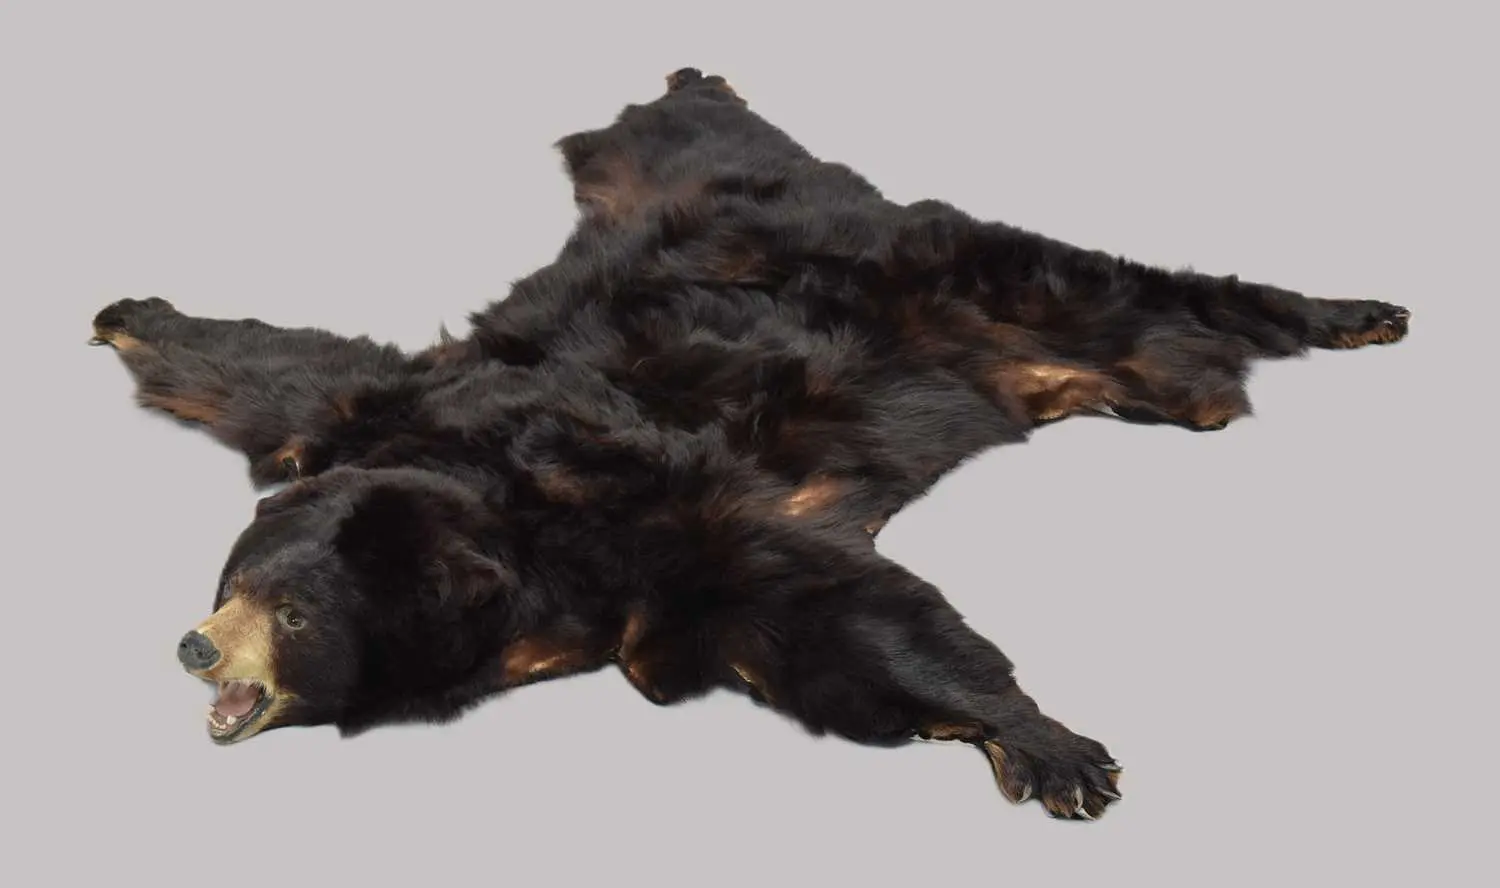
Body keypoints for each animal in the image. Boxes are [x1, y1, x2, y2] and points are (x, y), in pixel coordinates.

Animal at [88, 68, 1410, 821]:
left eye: (297, 614)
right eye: (235, 579)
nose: (196, 647)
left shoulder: (657, 519)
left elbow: (837, 607)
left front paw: (1049, 748)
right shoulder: (355, 419)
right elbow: (269, 368)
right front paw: (126, 314)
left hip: (986, 265)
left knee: (1155, 287)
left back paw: (1351, 312)